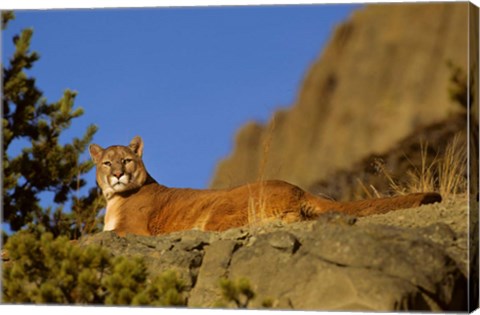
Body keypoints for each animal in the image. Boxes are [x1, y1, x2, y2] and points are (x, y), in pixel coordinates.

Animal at [89, 136, 442, 237]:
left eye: (127, 160)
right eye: (107, 163)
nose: (117, 174)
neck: (115, 198)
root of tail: (297, 187)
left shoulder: (133, 229)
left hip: (220, 211)